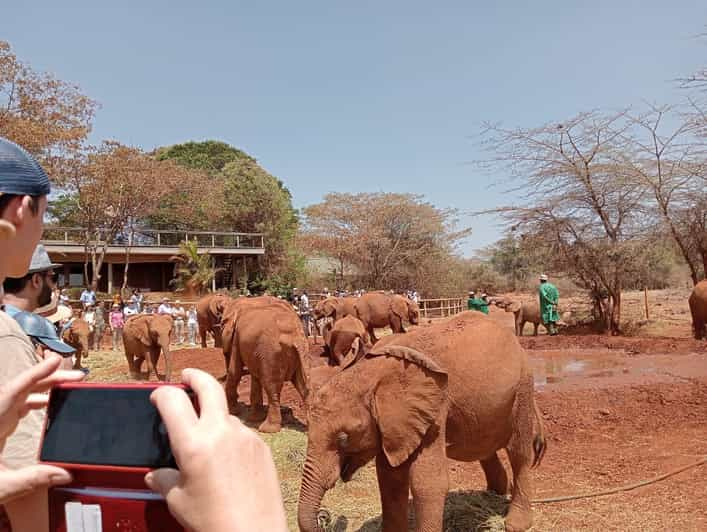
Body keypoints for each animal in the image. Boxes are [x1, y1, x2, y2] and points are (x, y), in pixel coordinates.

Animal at [298, 312, 548, 532]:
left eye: (344, 437)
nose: (325, 517)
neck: (371, 372)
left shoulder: (433, 409)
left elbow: (427, 483)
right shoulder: (393, 424)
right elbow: (389, 478)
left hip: (523, 387)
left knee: (519, 453)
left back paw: (516, 523)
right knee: (482, 447)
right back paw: (495, 492)